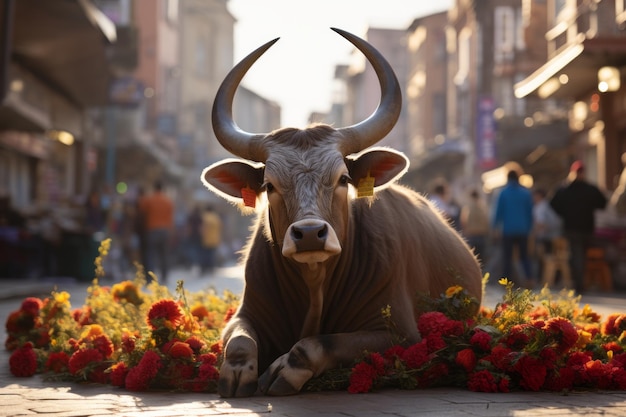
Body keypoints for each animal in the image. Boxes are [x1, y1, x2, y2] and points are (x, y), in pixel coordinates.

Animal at [202, 27, 480, 394]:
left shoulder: (400, 334)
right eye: (270, 186)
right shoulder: (245, 314)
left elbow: (313, 345)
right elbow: (239, 343)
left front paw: (283, 371)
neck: (315, 282)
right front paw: (237, 373)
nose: (309, 234)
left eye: (343, 178)